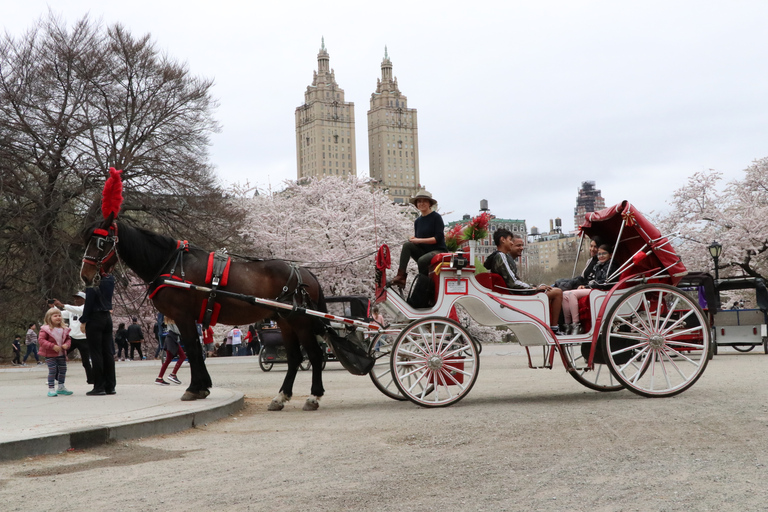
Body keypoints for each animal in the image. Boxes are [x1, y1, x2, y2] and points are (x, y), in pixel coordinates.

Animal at [79, 216, 328, 412]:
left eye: (100, 242)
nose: (85, 275)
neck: (170, 265)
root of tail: (304, 272)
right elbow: (196, 350)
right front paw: (203, 386)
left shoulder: (183, 316)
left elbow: (192, 349)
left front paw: (194, 388)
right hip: (285, 322)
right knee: (295, 358)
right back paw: (281, 397)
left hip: (301, 322)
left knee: (315, 355)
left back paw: (313, 396)